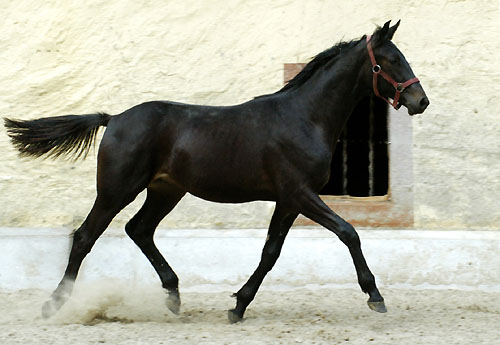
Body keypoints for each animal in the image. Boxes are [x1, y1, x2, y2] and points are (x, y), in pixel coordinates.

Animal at [3, 20, 428, 322]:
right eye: (390, 60)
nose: (420, 100)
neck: (304, 117)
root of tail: (114, 118)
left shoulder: (288, 200)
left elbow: (271, 252)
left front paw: (237, 306)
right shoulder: (301, 193)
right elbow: (348, 232)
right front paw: (375, 297)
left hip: (165, 190)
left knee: (139, 229)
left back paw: (173, 296)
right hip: (116, 190)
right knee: (85, 237)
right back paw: (54, 305)